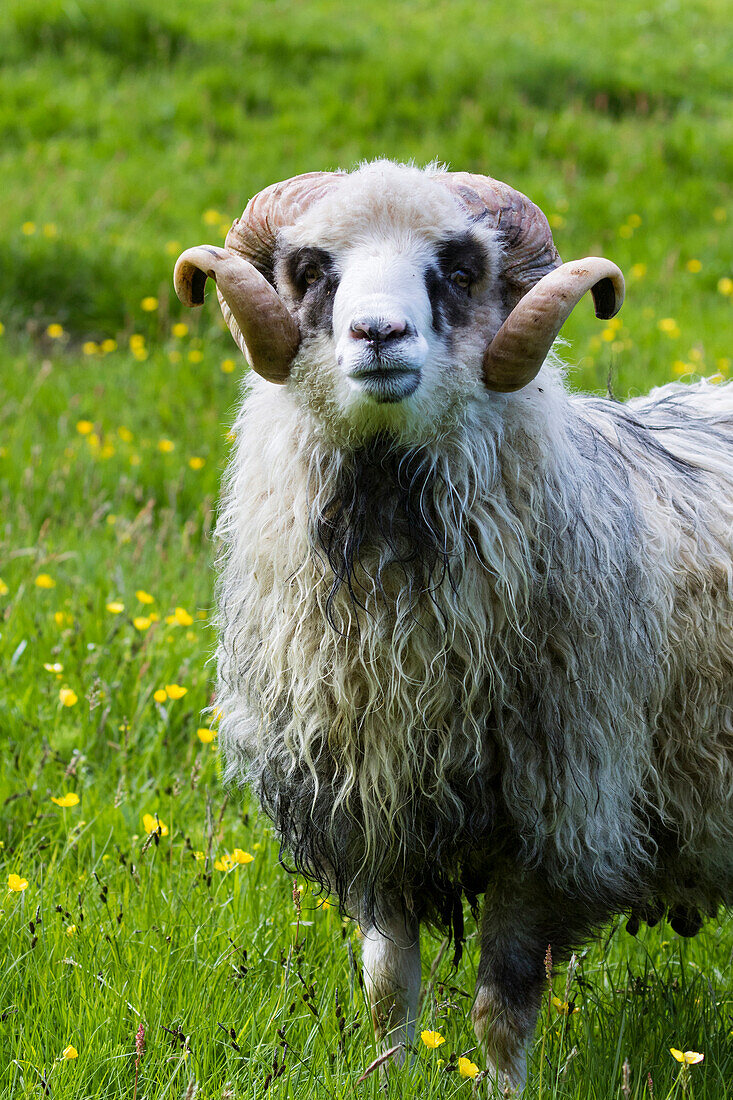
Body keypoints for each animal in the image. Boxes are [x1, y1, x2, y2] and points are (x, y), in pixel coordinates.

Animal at [172, 159, 730, 1086]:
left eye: (460, 270)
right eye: (311, 269)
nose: (378, 333)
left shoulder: (554, 823)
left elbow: (499, 1012)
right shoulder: (373, 810)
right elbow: (385, 988)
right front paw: (388, 1081)